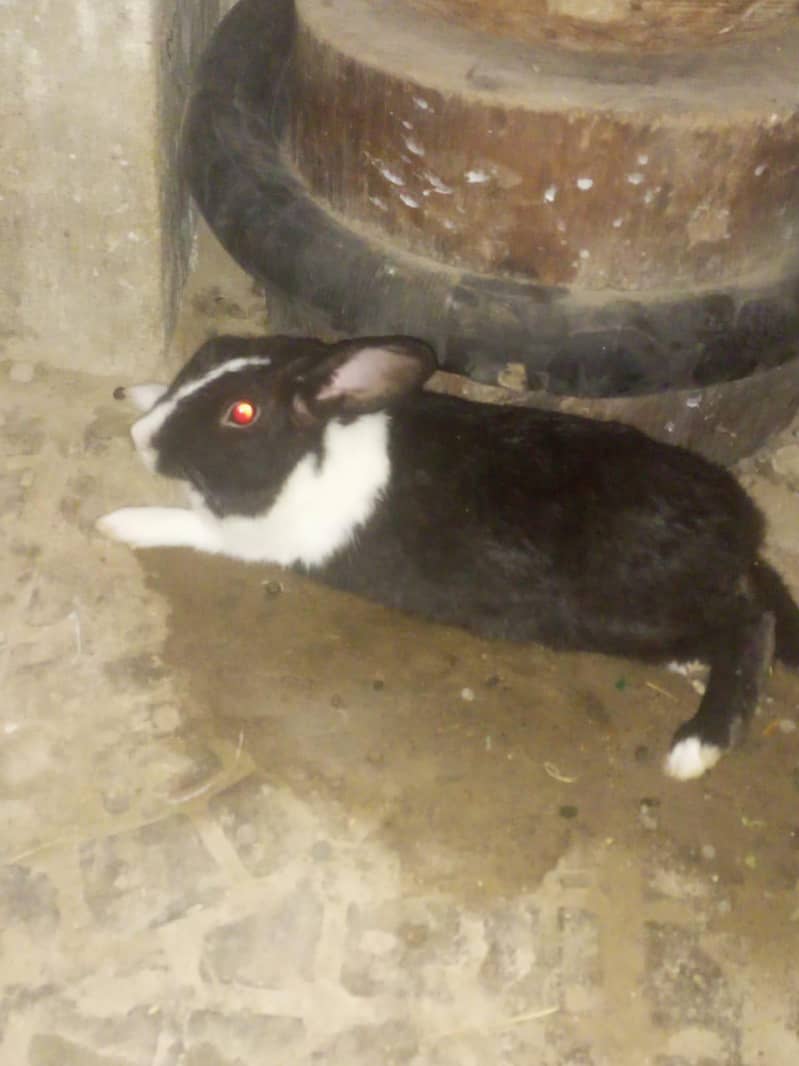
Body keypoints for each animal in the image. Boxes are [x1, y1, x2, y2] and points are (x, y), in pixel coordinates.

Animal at [97, 332, 799, 781]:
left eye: (241, 413)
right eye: (205, 354)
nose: (140, 439)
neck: (307, 450)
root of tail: (742, 527)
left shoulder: (252, 536)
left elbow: (186, 523)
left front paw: (120, 522)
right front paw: (138, 392)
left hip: (635, 609)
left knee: (750, 622)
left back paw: (697, 746)